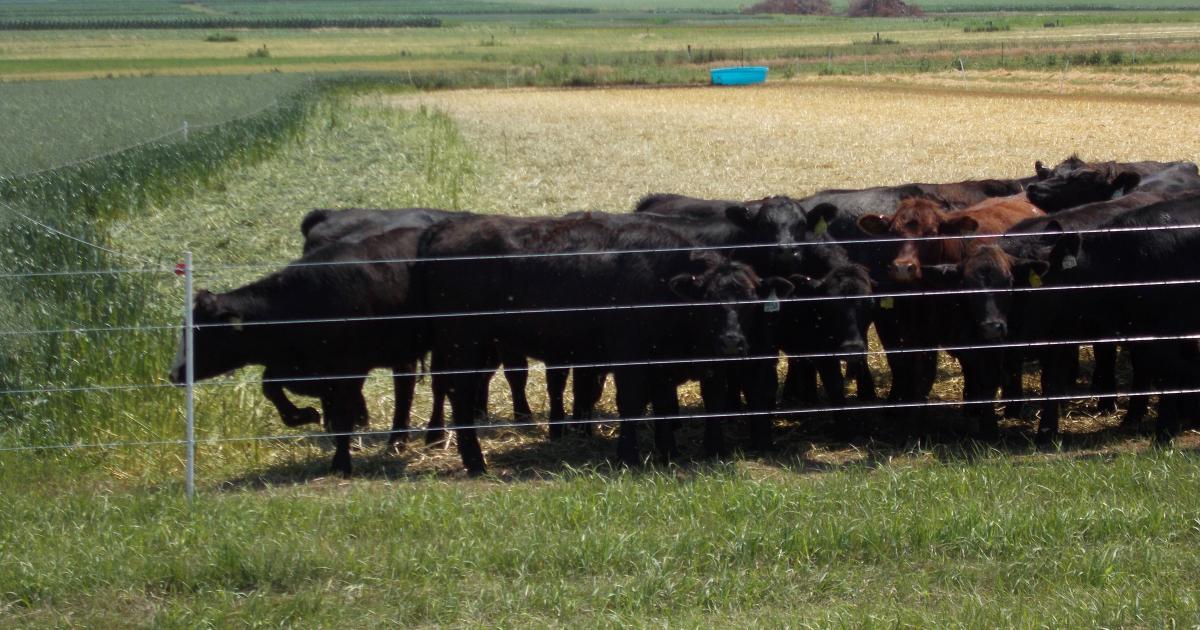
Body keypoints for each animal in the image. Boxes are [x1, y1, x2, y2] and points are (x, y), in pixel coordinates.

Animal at [168, 227, 428, 476]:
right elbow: (270, 387)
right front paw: (304, 415)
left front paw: (341, 463)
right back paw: (398, 441)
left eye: (202, 335)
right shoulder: (294, 366)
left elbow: (342, 416)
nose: (174, 374)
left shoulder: (350, 369)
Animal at [415, 212, 794, 473]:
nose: (732, 342)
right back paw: (474, 461)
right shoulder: (631, 356)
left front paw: (688, 452)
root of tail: (449, 225)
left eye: (750, 303)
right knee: (459, 394)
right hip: (463, 342)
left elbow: (686, 405)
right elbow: (632, 404)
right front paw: (629, 456)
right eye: (707, 303)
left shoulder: (677, 363)